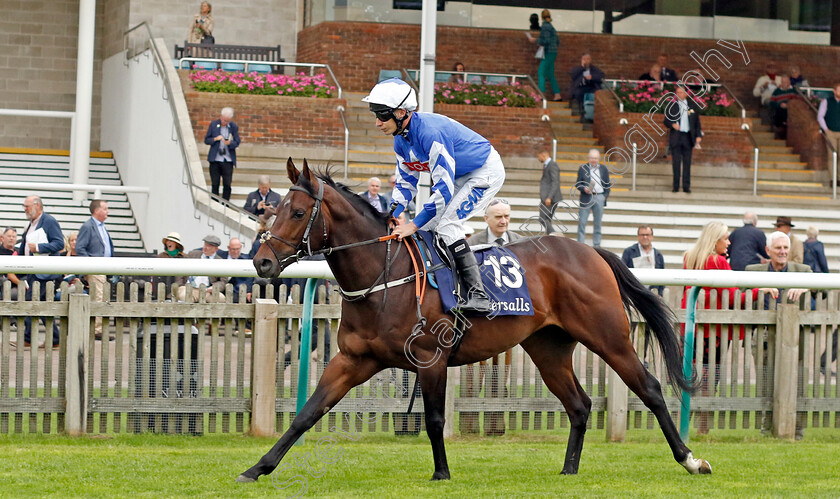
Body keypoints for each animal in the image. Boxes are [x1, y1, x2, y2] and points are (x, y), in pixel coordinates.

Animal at [236, 159, 708, 484]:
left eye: (298, 213)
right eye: (273, 209)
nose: (262, 262)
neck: (384, 276)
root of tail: (590, 251)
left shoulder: (431, 359)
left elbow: (433, 419)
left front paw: (441, 474)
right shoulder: (353, 360)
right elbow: (307, 413)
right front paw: (257, 468)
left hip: (609, 336)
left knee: (650, 389)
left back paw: (690, 459)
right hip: (548, 348)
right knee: (579, 404)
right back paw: (569, 470)